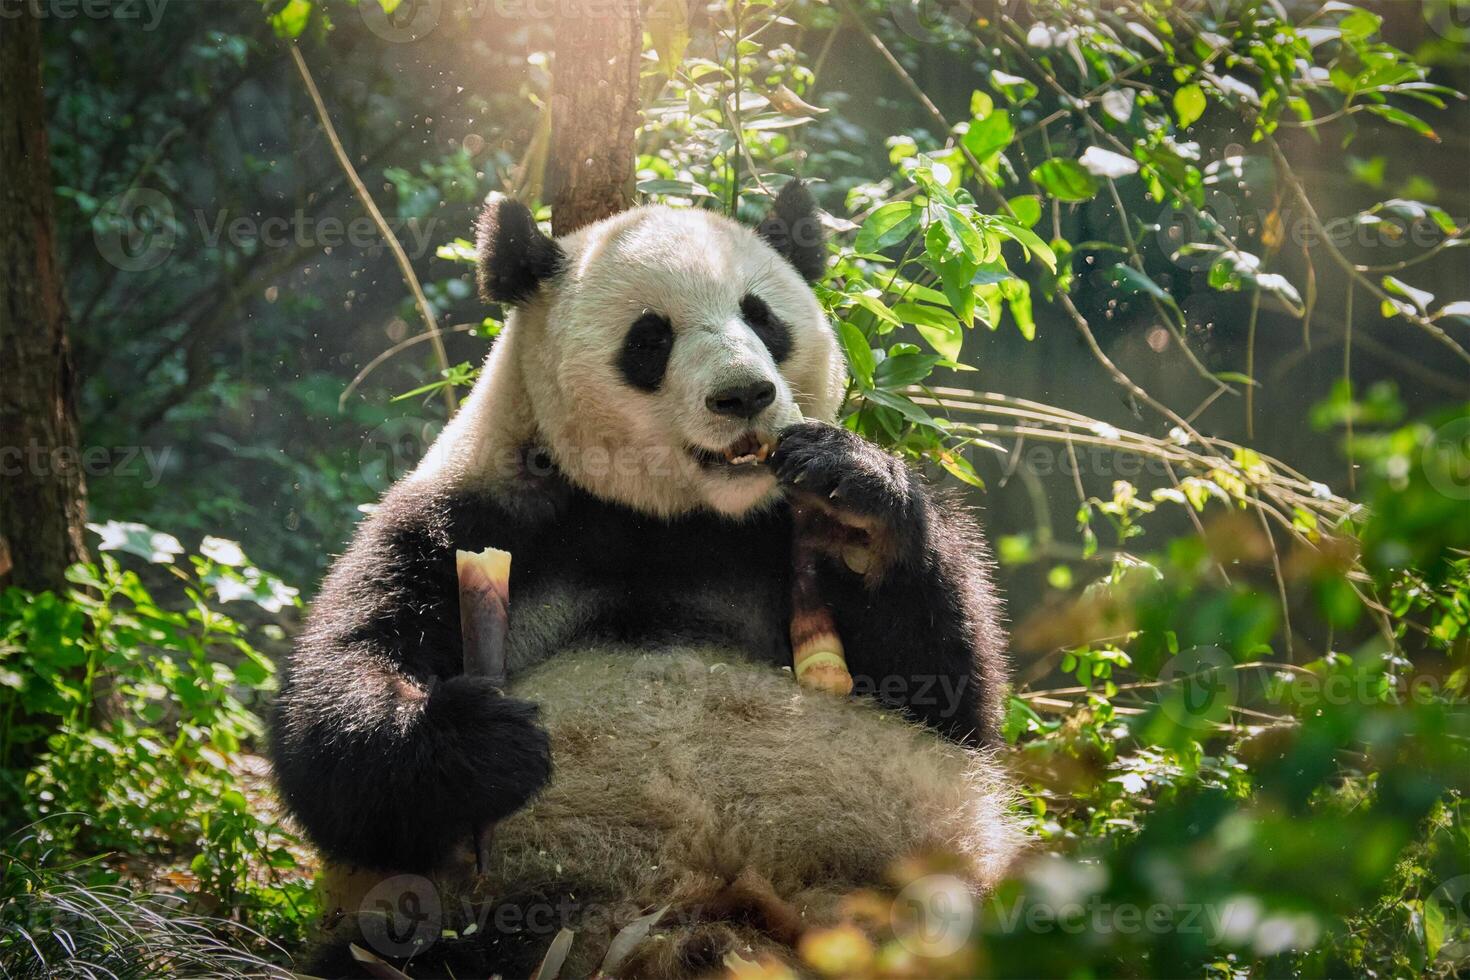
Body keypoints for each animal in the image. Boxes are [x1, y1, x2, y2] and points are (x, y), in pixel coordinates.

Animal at [273, 182, 1023, 975]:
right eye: (650, 337)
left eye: (762, 316)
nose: (744, 395)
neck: (667, 517)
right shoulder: (466, 520)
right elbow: (334, 717)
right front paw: (484, 741)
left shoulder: (769, 536)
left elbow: (945, 698)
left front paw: (856, 508)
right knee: (402, 953)